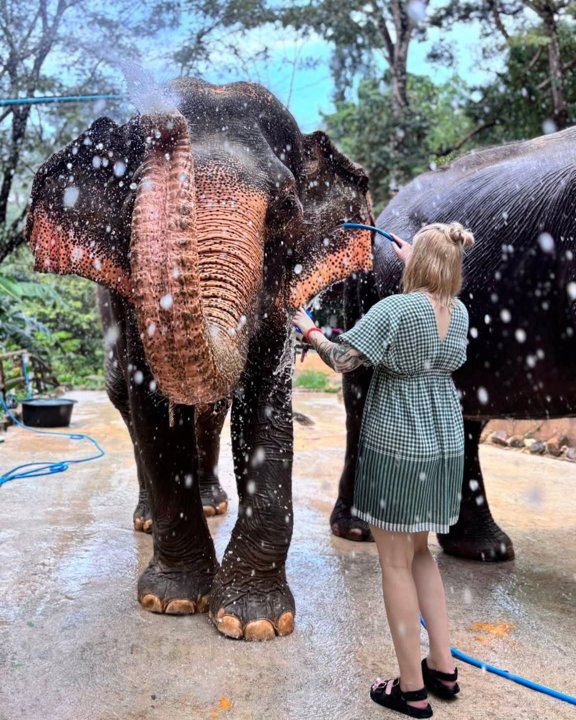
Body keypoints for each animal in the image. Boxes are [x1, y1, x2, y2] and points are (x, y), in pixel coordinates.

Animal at [26, 77, 374, 640]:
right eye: (134, 199)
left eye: (286, 208)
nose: (166, 121)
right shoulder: (131, 302)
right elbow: (151, 406)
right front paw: (172, 601)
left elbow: (266, 405)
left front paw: (254, 622)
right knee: (123, 397)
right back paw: (147, 519)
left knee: (213, 408)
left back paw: (214, 503)